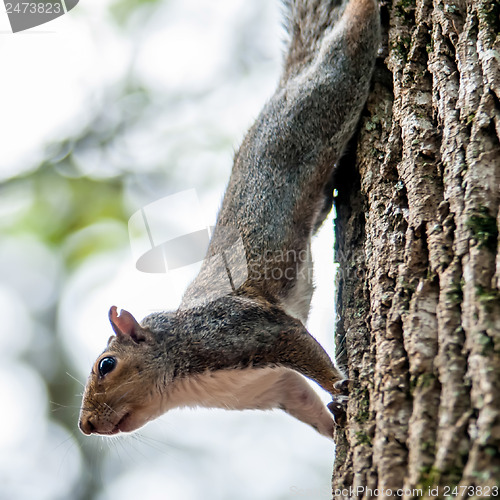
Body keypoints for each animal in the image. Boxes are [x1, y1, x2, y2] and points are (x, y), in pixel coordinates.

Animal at [78, 0, 378, 440]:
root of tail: (281, 90)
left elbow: (299, 344)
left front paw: (340, 384)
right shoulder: (270, 386)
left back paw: (363, 10)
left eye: (106, 365)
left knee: (342, 56)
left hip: (319, 106)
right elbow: (303, 399)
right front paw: (333, 418)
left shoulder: (244, 330)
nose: (84, 424)